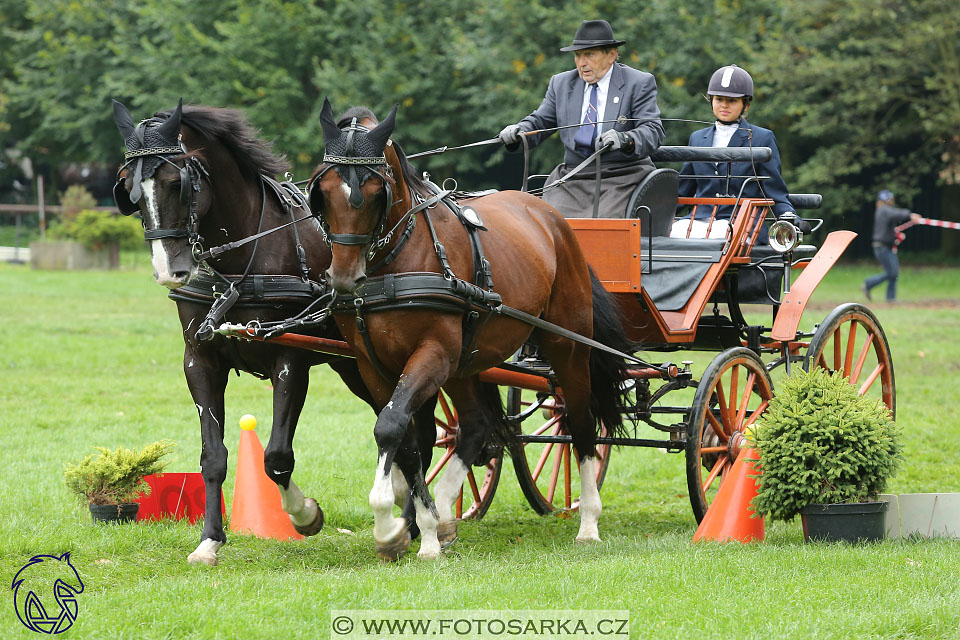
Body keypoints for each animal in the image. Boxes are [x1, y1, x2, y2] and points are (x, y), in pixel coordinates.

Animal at [308, 99, 632, 560]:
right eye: (325, 189)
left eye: (375, 192)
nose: (343, 279)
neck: (396, 262)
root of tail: (553, 218)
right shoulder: (376, 366)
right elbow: (406, 438)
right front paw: (420, 529)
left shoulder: (433, 352)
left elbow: (390, 428)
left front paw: (390, 523)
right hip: (466, 361)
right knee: (476, 425)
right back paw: (445, 514)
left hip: (566, 346)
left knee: (581, 421)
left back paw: (588, 521)